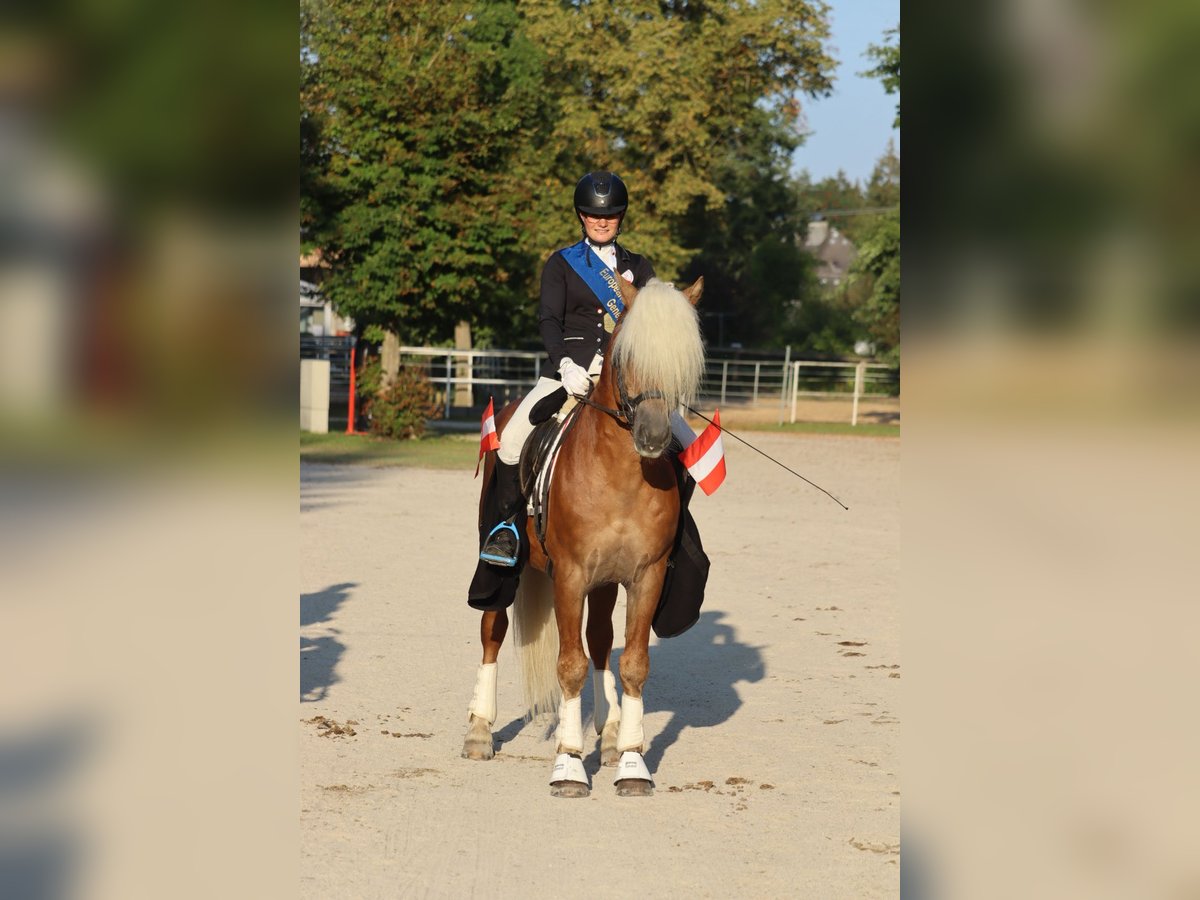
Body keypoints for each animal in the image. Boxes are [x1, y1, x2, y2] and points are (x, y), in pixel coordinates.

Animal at [458, 273, 700, 796]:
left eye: (683, 363)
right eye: (626, 356)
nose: (653, 437)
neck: (622, 474)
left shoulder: (645, 576)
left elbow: (632, 663)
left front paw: (631, 761)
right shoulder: (568, 576)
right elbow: (569, 664)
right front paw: (568, 764)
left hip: (606, 583)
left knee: (601, 640)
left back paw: (608, 734)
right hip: (504, 568)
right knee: (493, 631)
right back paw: (479, 731)